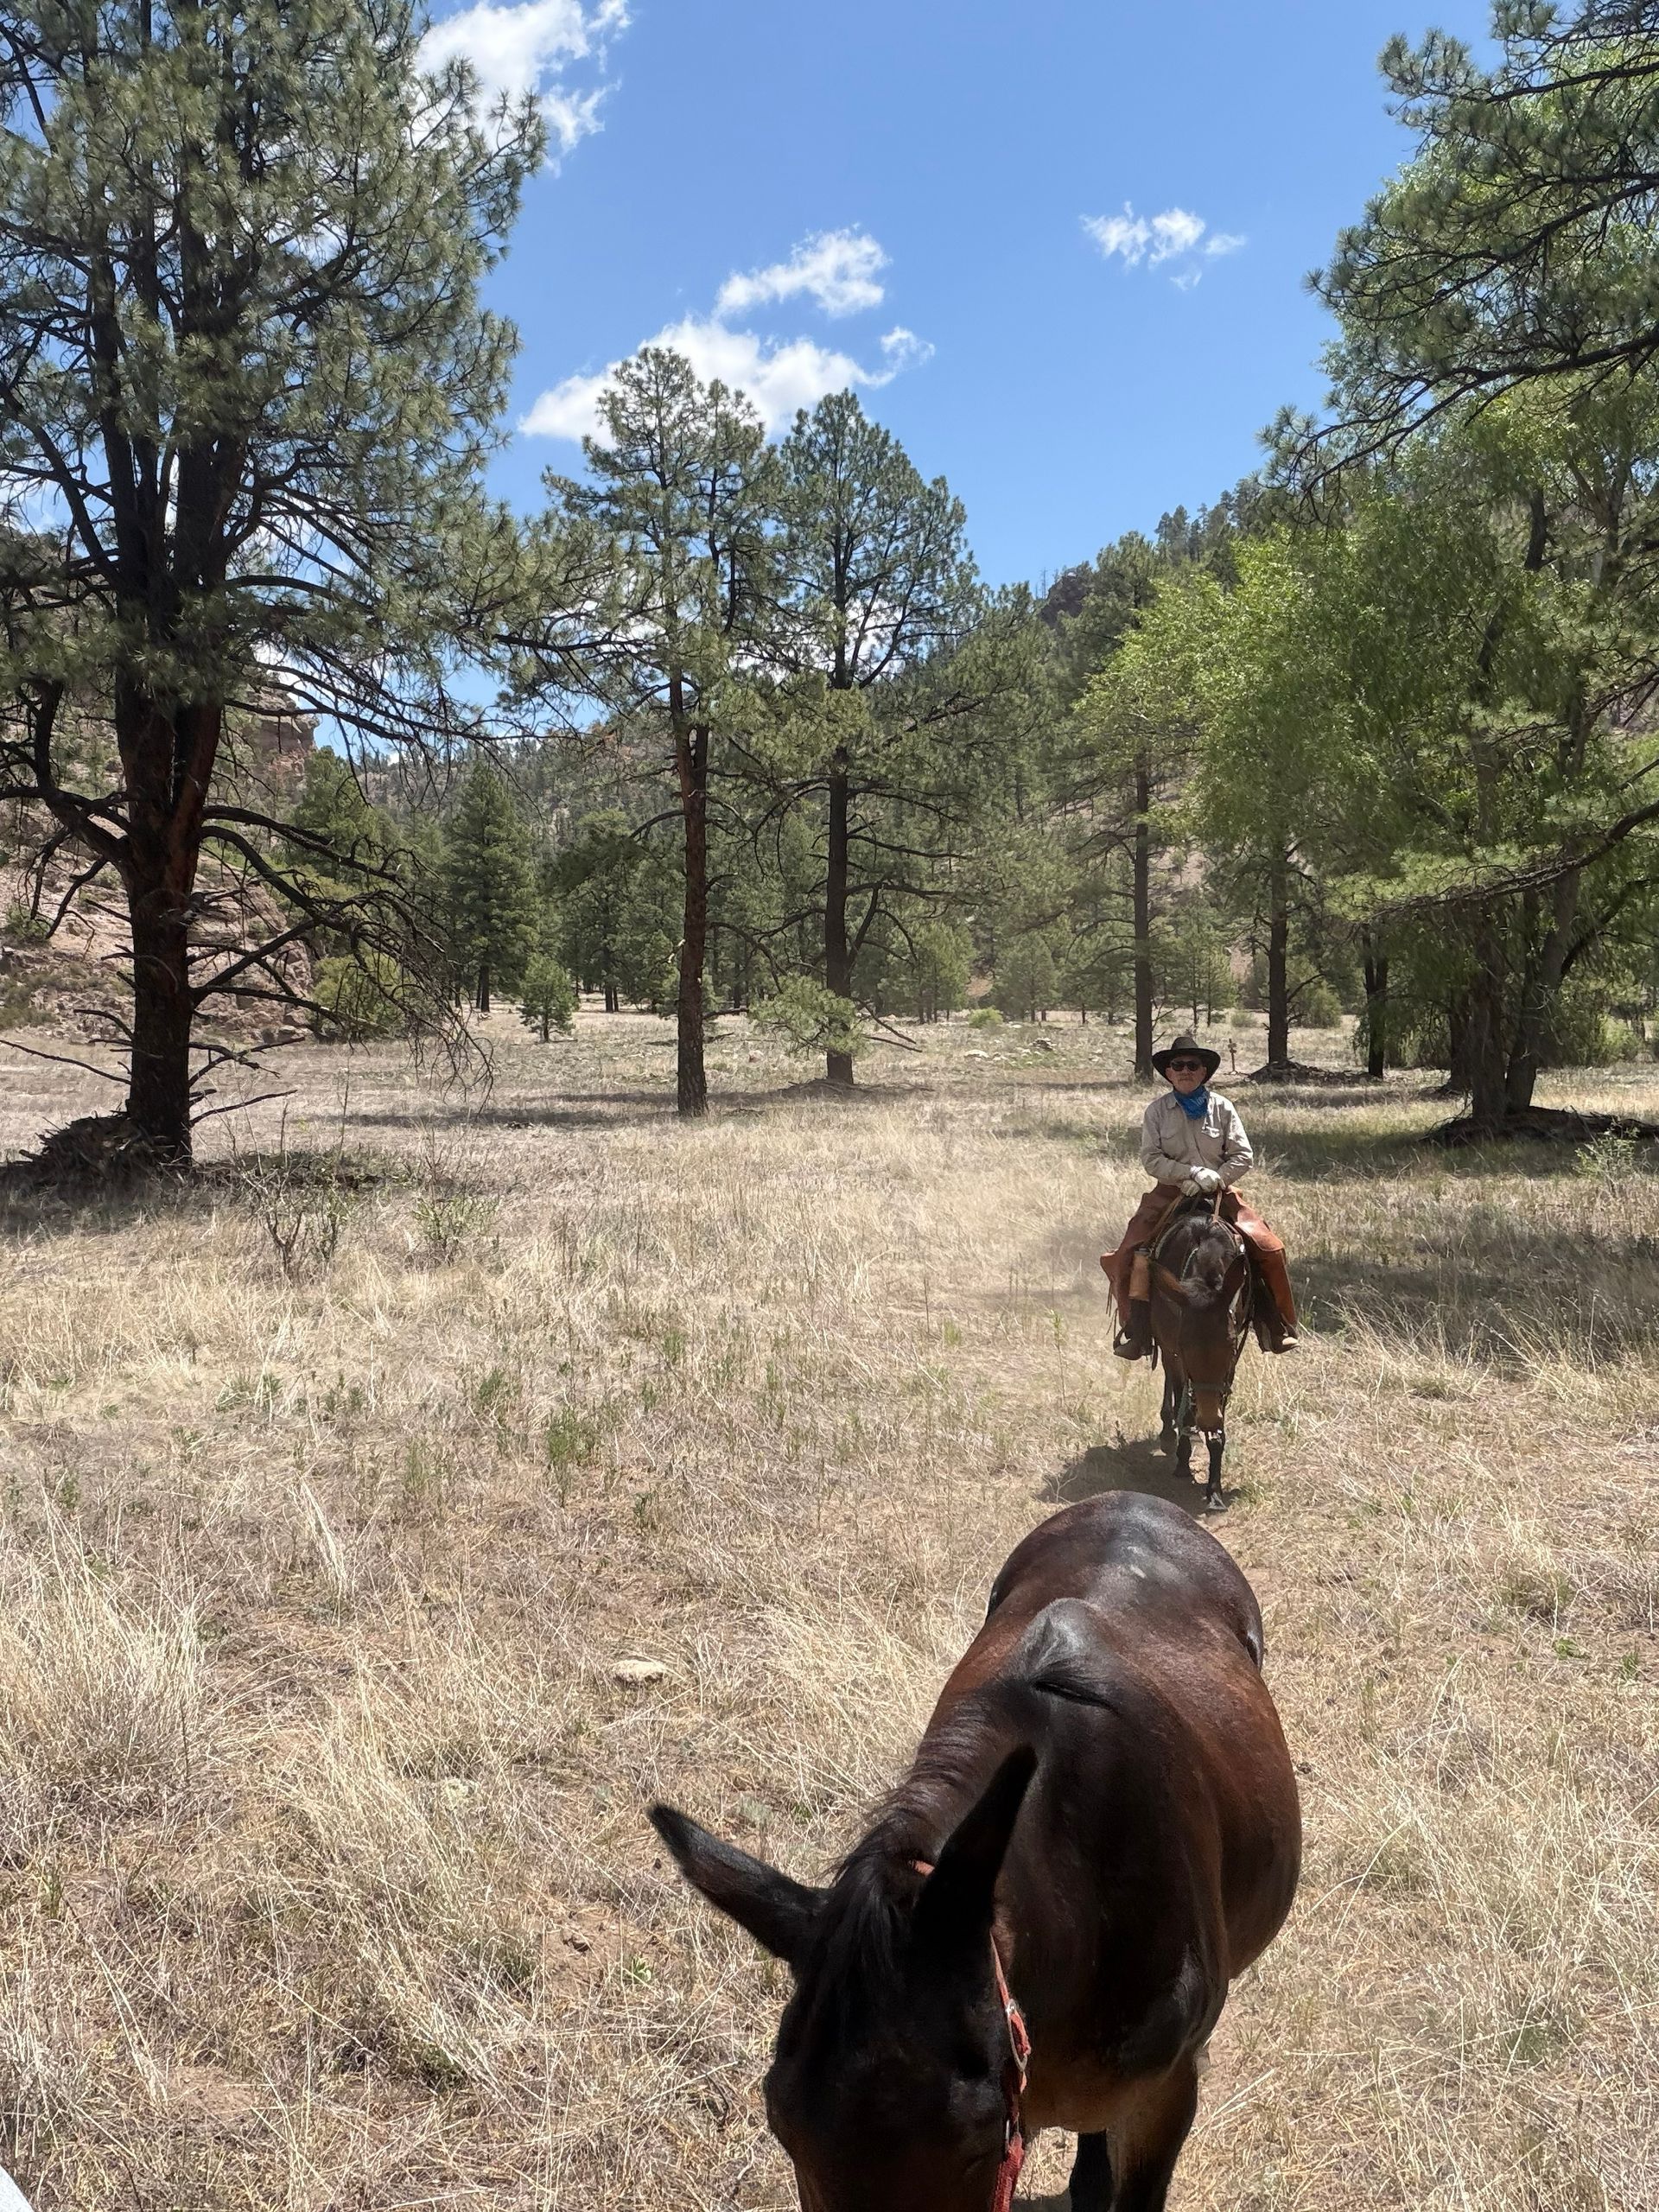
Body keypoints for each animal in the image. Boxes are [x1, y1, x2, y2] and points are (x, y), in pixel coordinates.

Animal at [1147, 1202, 1253, 1513]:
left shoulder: (1229, 1369)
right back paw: (1171, 1429)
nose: (1207, 1418)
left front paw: (1215, 1490)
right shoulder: (1173, 1350)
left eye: (1230, 1345)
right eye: (1185, 1346)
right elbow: (1181, 1392)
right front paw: (1183, 1460)